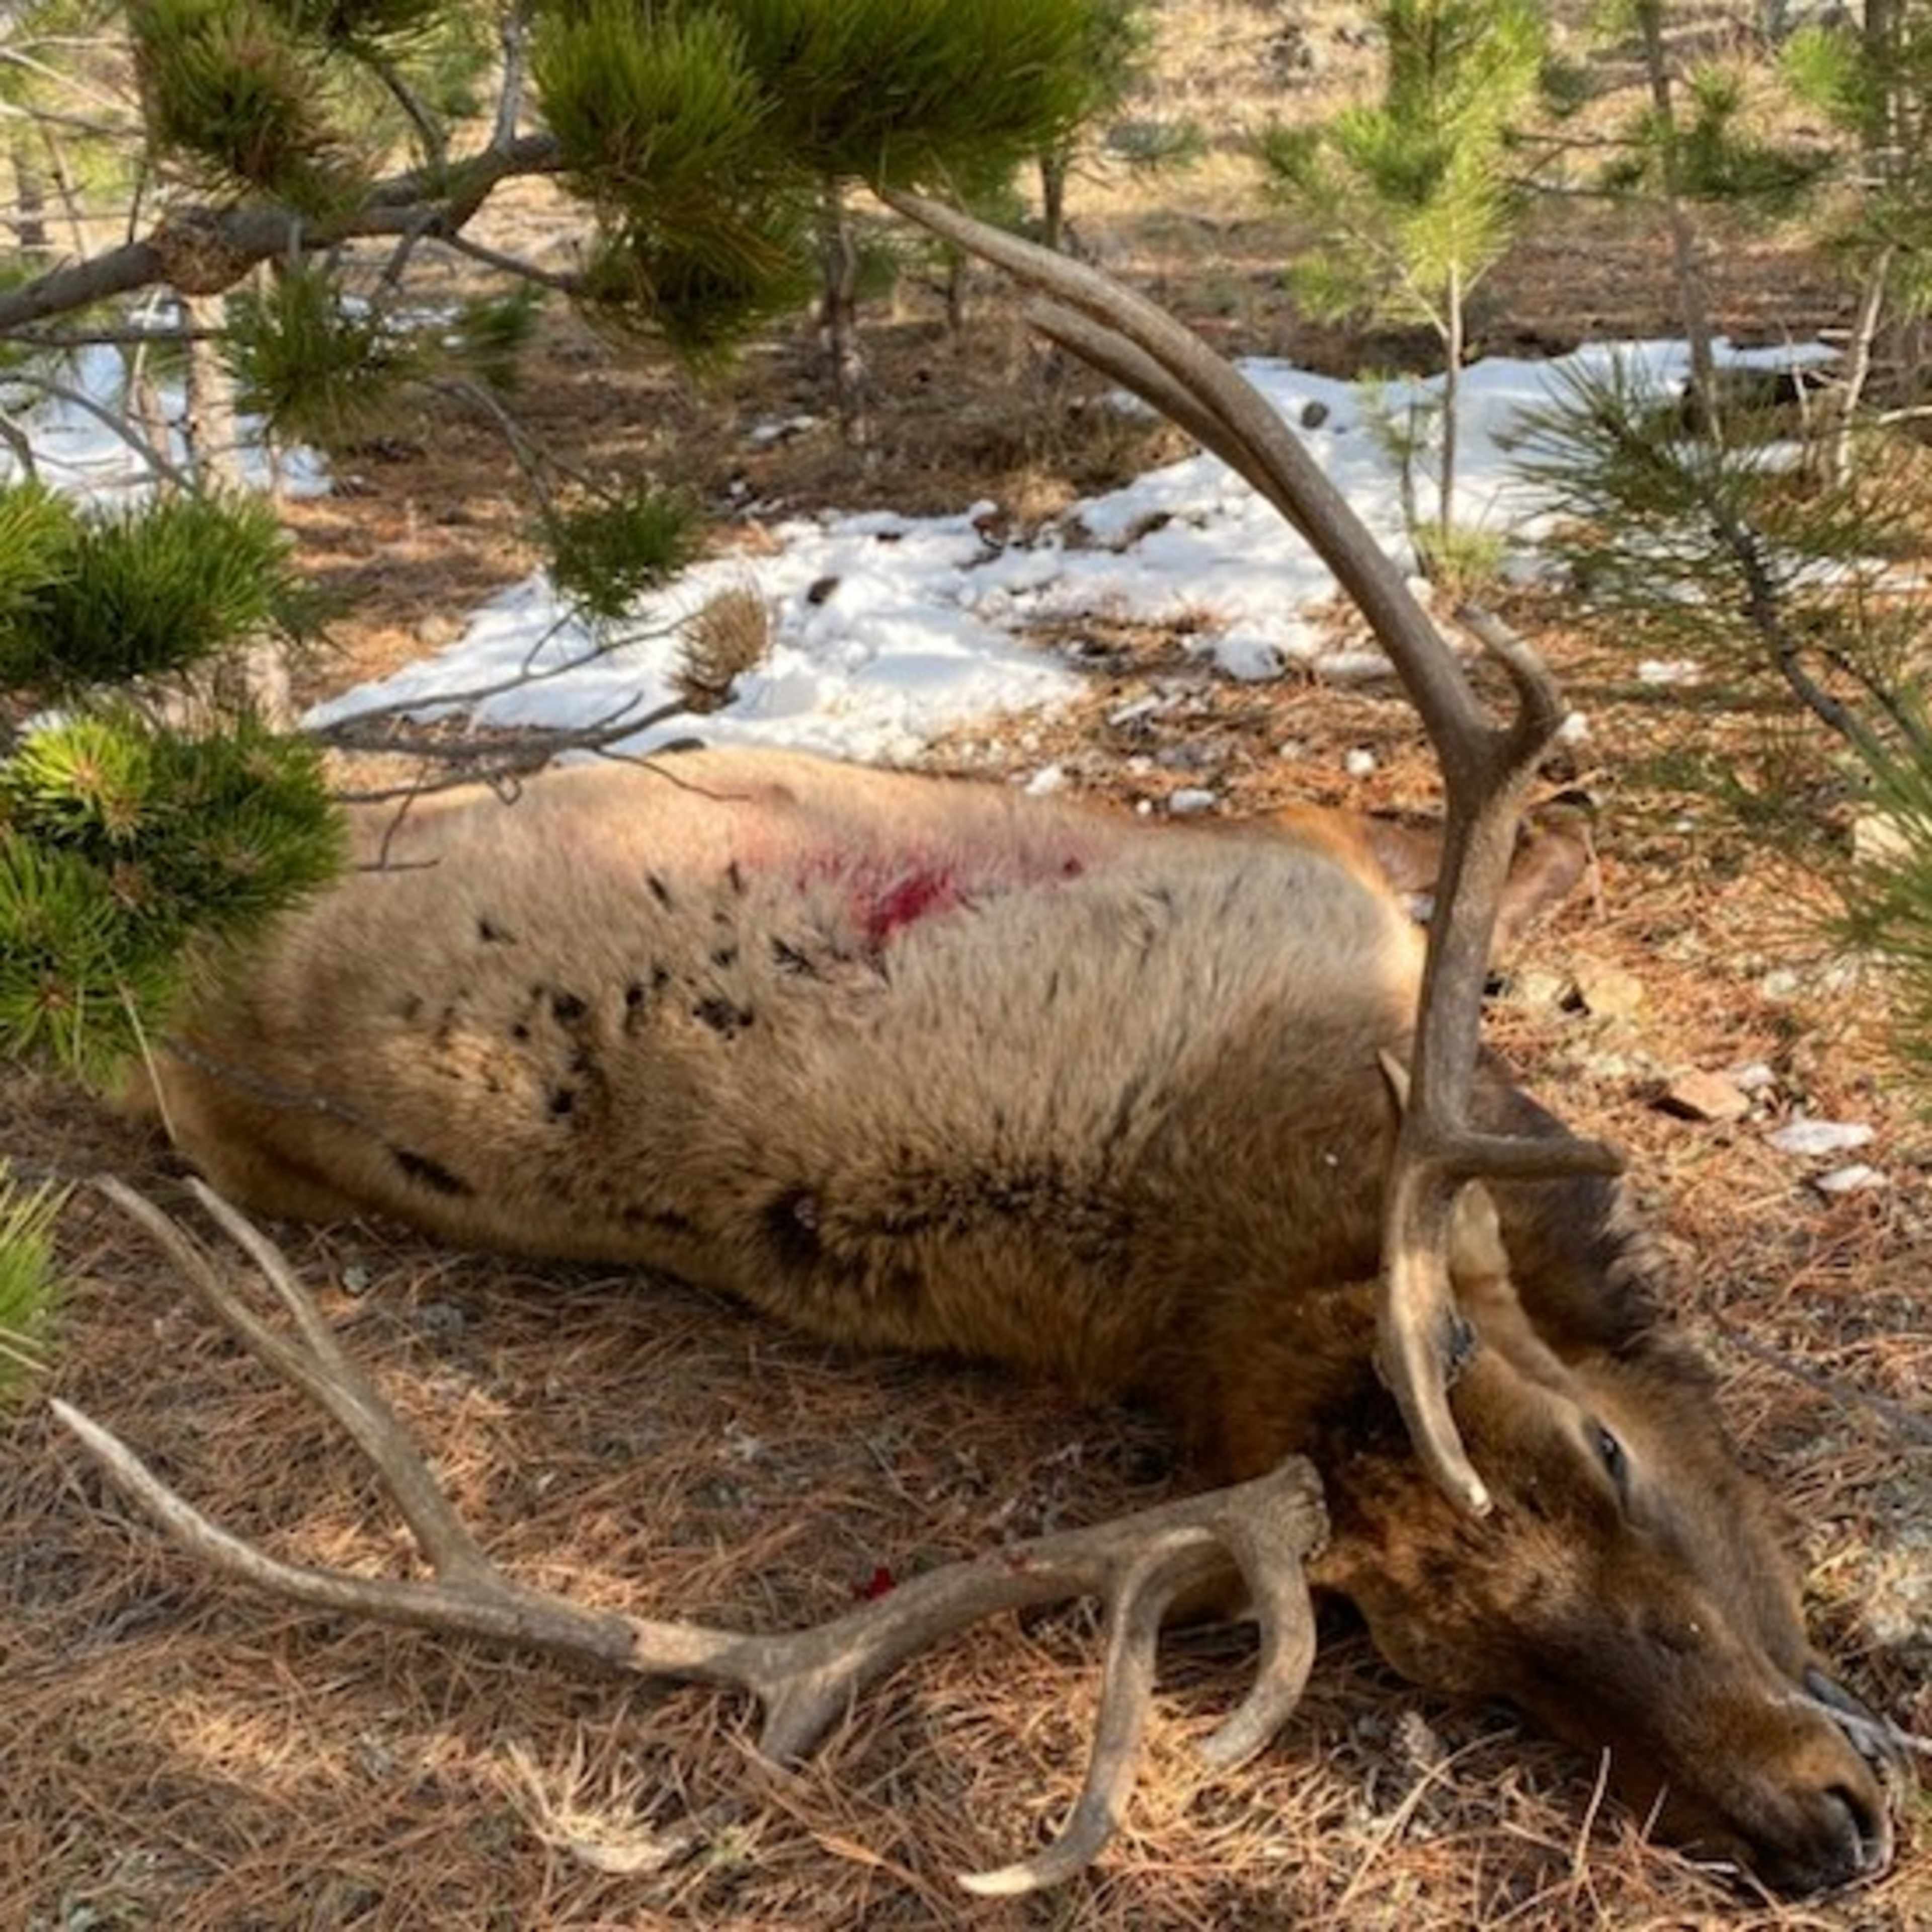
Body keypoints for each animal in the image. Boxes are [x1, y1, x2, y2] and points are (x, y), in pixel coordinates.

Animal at [54, 193, 1915, 1902]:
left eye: (1603, 1458)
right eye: (1444, 1658)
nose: (1818, 1823)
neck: (1253, 1217)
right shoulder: (1309, 865)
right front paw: (1561, 859)